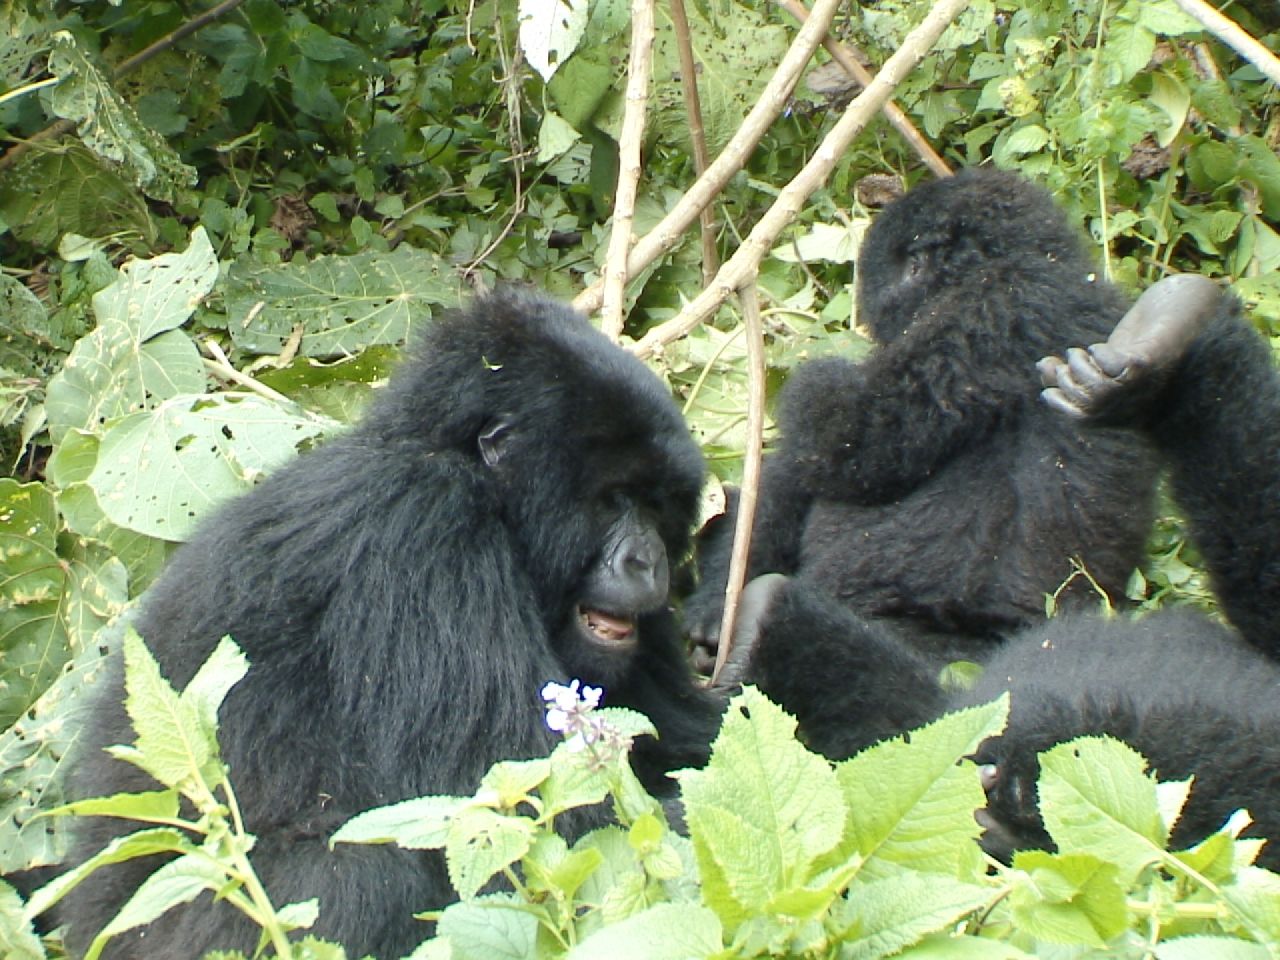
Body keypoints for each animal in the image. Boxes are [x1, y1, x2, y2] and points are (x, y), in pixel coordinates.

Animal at [57, 291, 732, 960]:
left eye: (659, 505)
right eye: (616, 499)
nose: (649, 563)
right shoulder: (424, 525)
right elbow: (535, 814)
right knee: (361, 876)